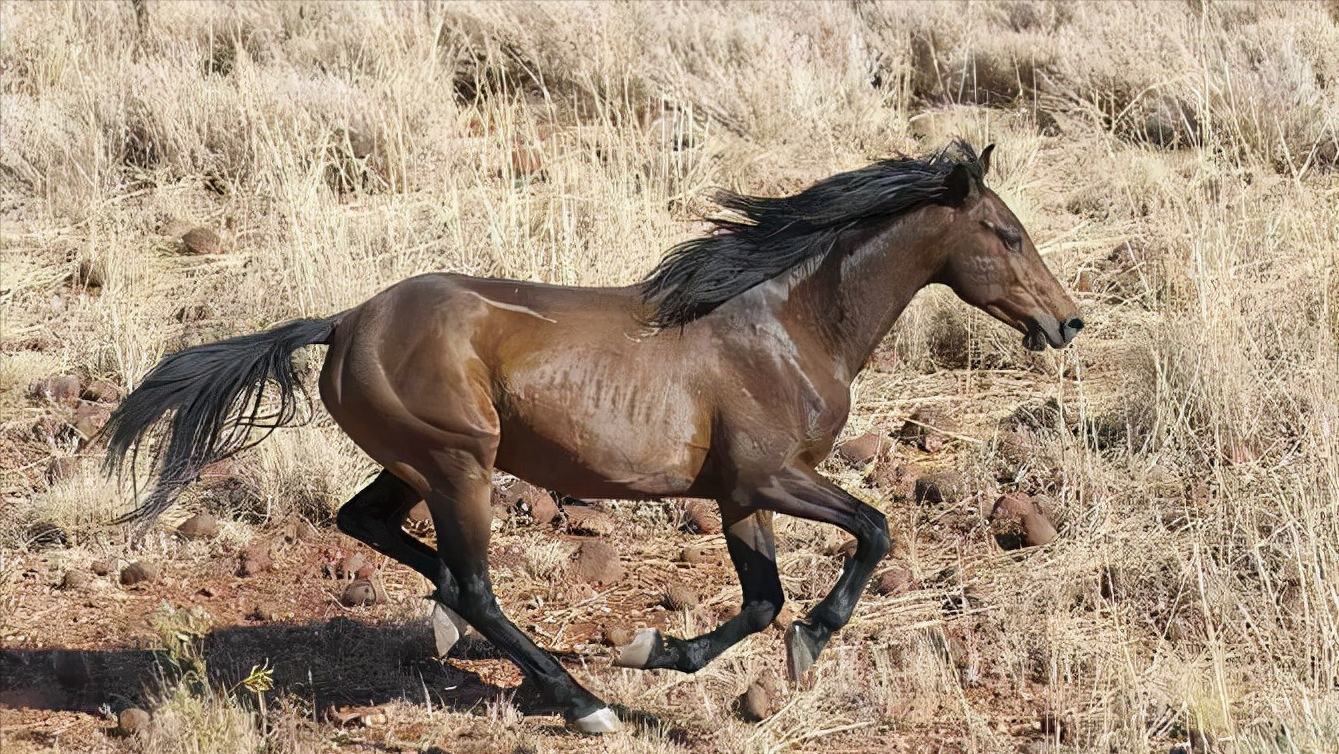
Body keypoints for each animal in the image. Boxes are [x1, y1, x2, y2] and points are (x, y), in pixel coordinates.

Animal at [104, 139, 1087, 733]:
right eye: (1004, 232)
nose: (1067, 321)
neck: (787, 325)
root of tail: (343, 323)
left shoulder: (740, 496)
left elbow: (761, 599)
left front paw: (668, 651)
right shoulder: (771, 480)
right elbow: (874, 532)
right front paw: (803, 640)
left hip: (418, 464)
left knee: (374, 529)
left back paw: (451, 626)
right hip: (459, 465)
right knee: (475, 587)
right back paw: (578, 701)